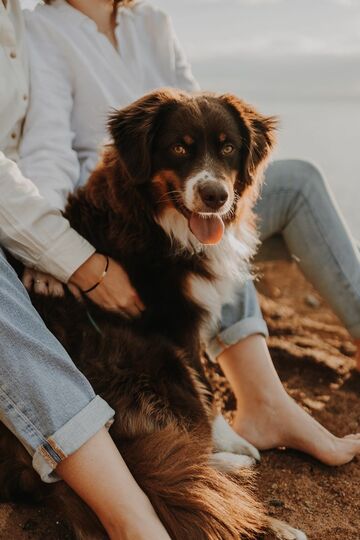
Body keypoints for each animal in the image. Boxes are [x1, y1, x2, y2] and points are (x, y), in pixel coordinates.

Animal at [0, 89, 306, 540]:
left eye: (227, 148)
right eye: (179, 147)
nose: (215, 195)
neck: (155, 222)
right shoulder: (177, 328)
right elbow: (208, 390)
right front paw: (229, 441)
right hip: (158, 361)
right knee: (167, 468)